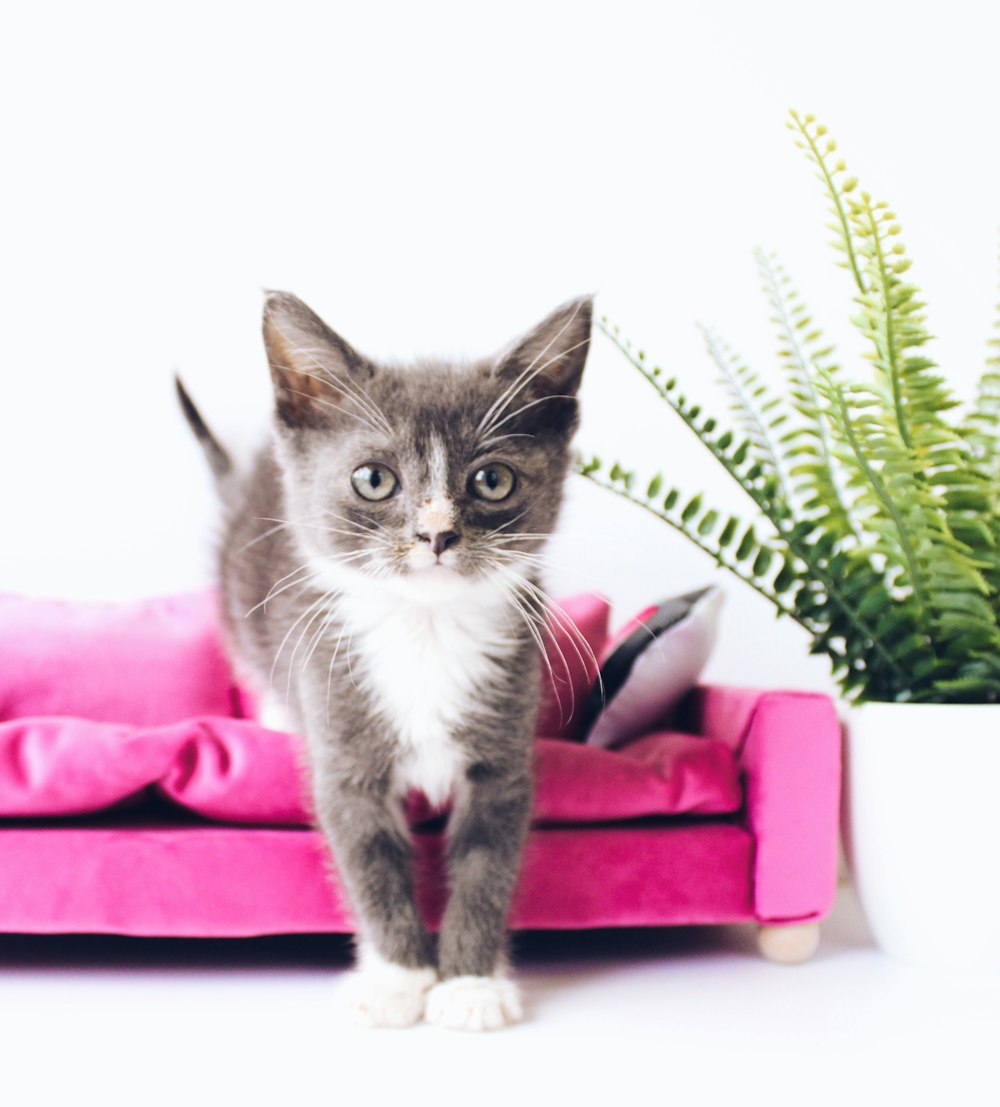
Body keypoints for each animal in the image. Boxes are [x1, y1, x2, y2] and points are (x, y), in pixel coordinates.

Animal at [178, 292, 593, 1027]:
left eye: (492, 479)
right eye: (374, 479)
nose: (437, 534)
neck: (424, 628)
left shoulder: (505, 752)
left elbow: (488, 864)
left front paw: (469, 983)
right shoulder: (340, 740)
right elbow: (367, 860)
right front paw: (398, 979)